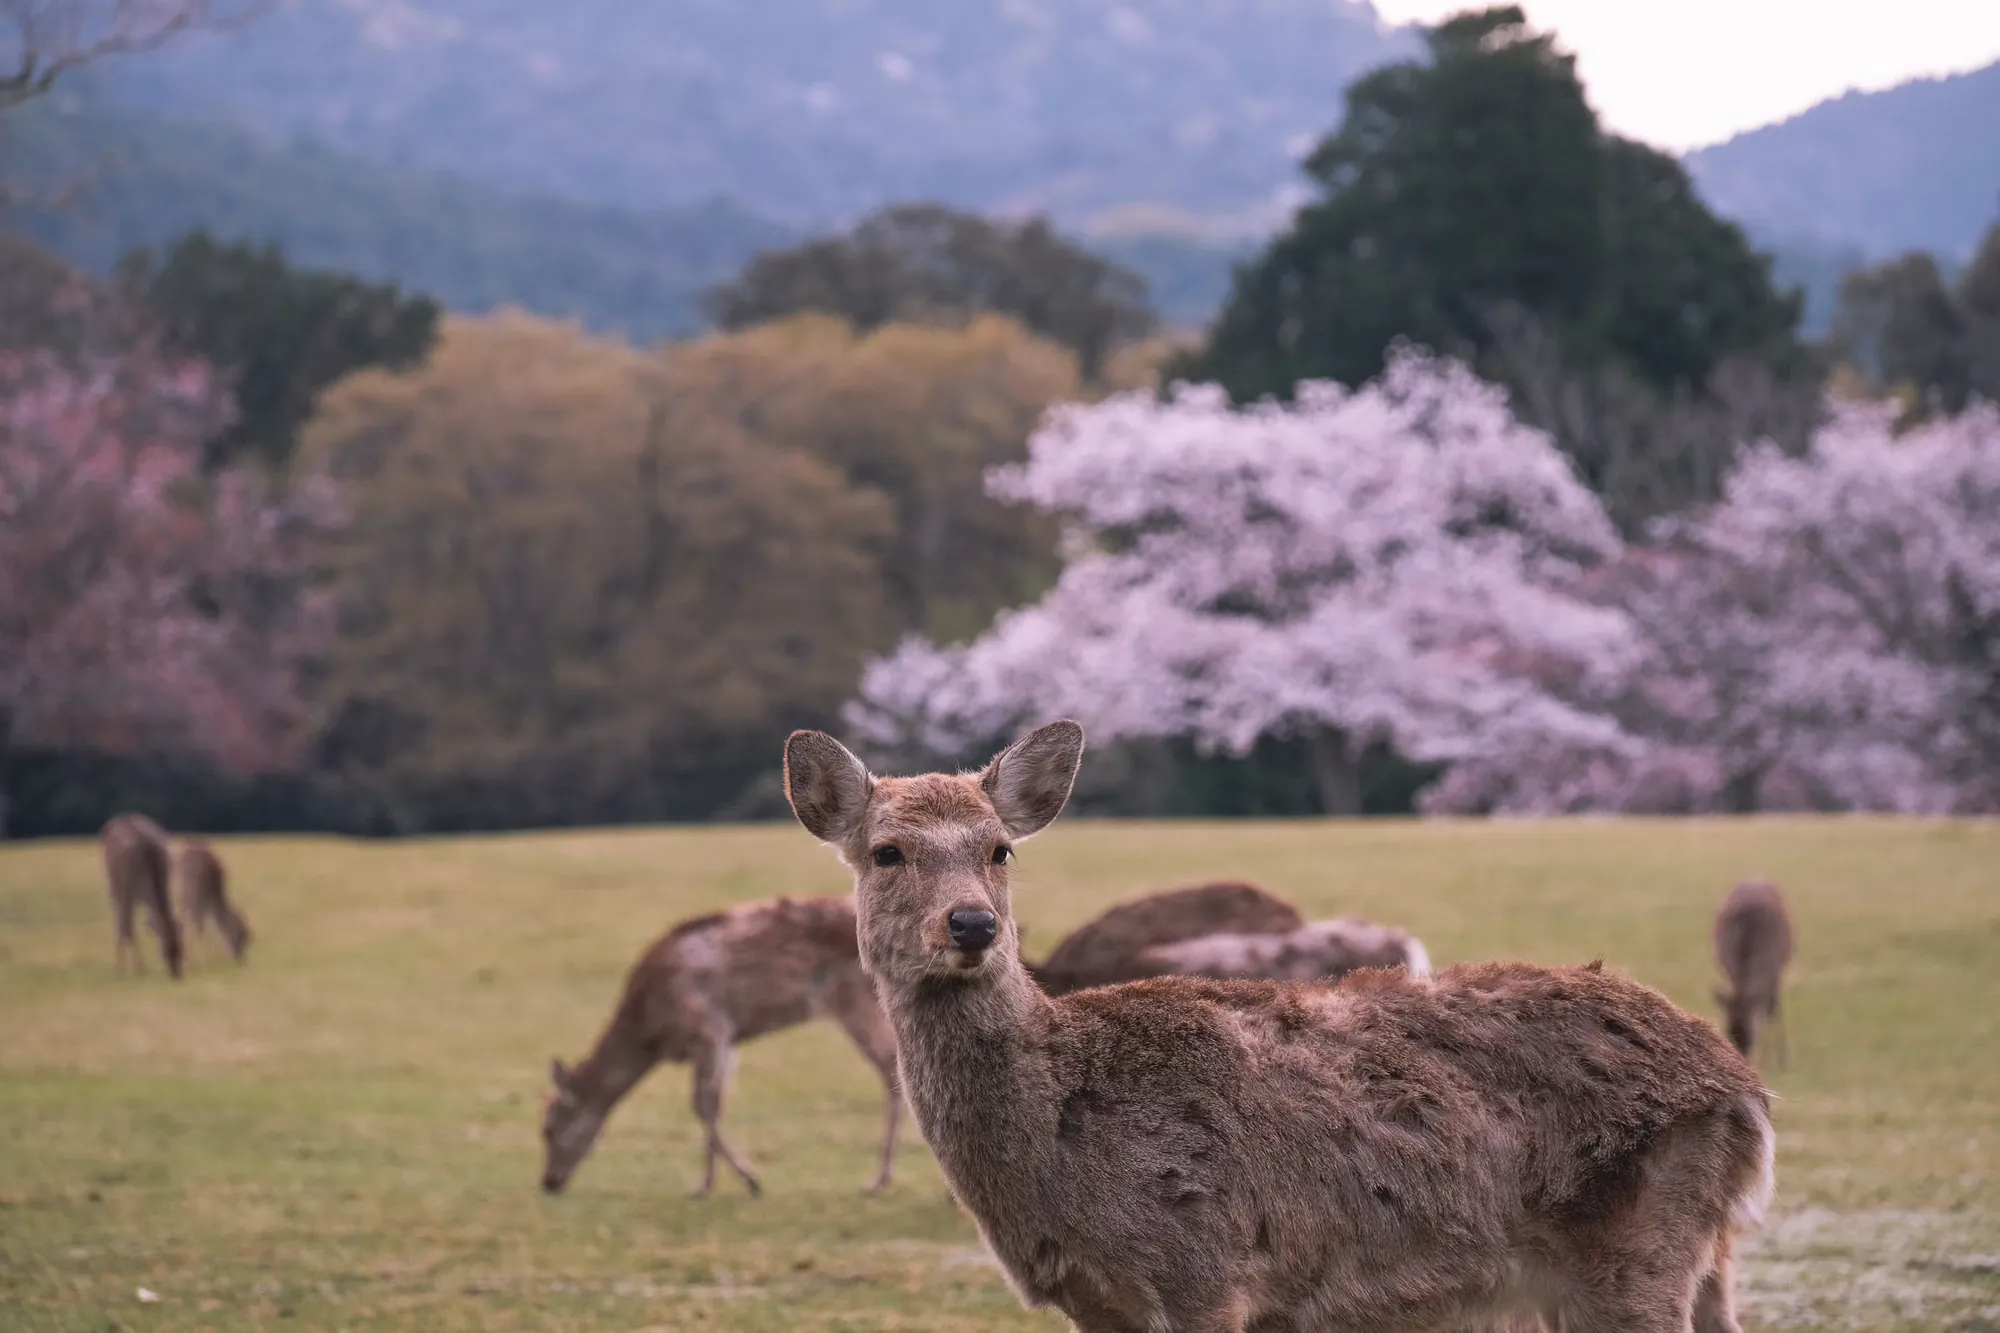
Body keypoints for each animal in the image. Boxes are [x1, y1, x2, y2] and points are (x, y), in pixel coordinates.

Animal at [100, 813, 183, 980]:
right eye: (165, 947)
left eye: (182, 948)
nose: (177, 974)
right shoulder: (129, 890)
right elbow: (128, 927)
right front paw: (137, 968)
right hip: (115, 883)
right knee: (121, 920)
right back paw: (121, 965)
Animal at [540, 894, 903, 1199]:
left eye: (548, 1128)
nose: (547, 1183)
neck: (649, 1033)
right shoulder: (727, 1041)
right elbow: (717, 1103)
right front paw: (711, 1183)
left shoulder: (708, 1028)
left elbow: (703, 1105)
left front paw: (739, 1181)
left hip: (855, 1000)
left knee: (891, 1069)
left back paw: (878, 1180)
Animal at [1713, 878, 1794, 1067]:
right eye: (1729, 1034)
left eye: (1751, 1036)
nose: (1743, 1062)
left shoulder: (1774, 969)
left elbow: (1771, 1011)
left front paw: (1780, 1060)